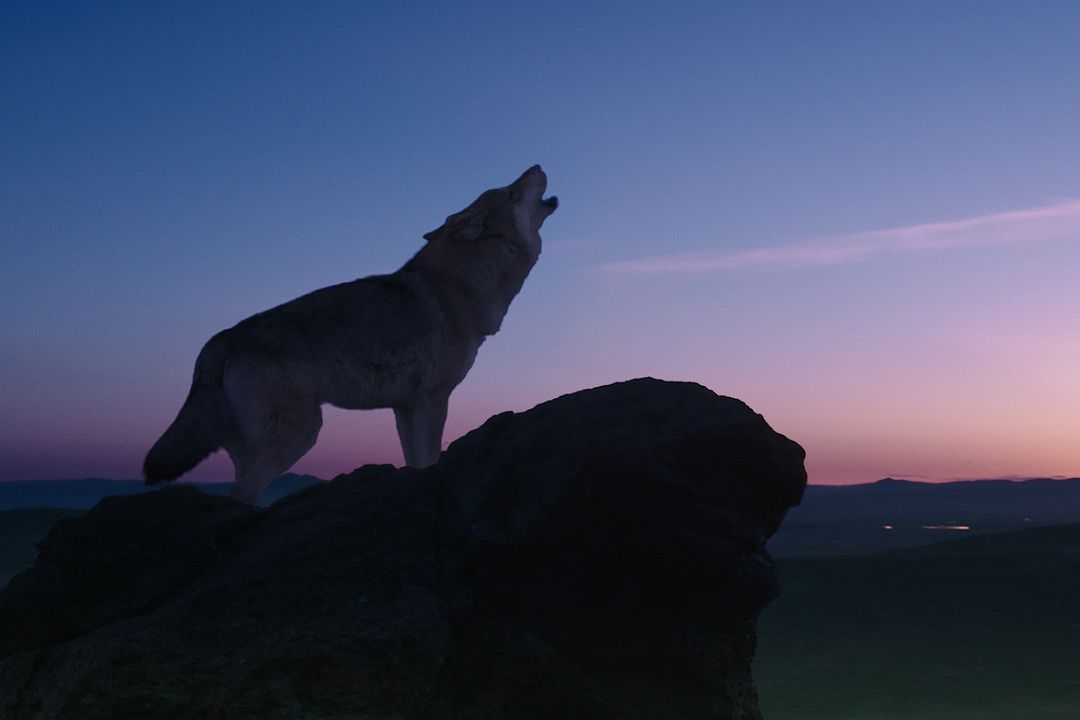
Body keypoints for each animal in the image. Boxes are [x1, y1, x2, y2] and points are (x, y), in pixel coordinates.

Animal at [144, 166, 557, 504]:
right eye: (511, 191)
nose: (537, 164)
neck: (458, 286)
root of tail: (217, 343)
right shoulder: (433, 399)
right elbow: (429, 459)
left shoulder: (405, 406)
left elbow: (414, 461)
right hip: (303, 432)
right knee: (244, 492)